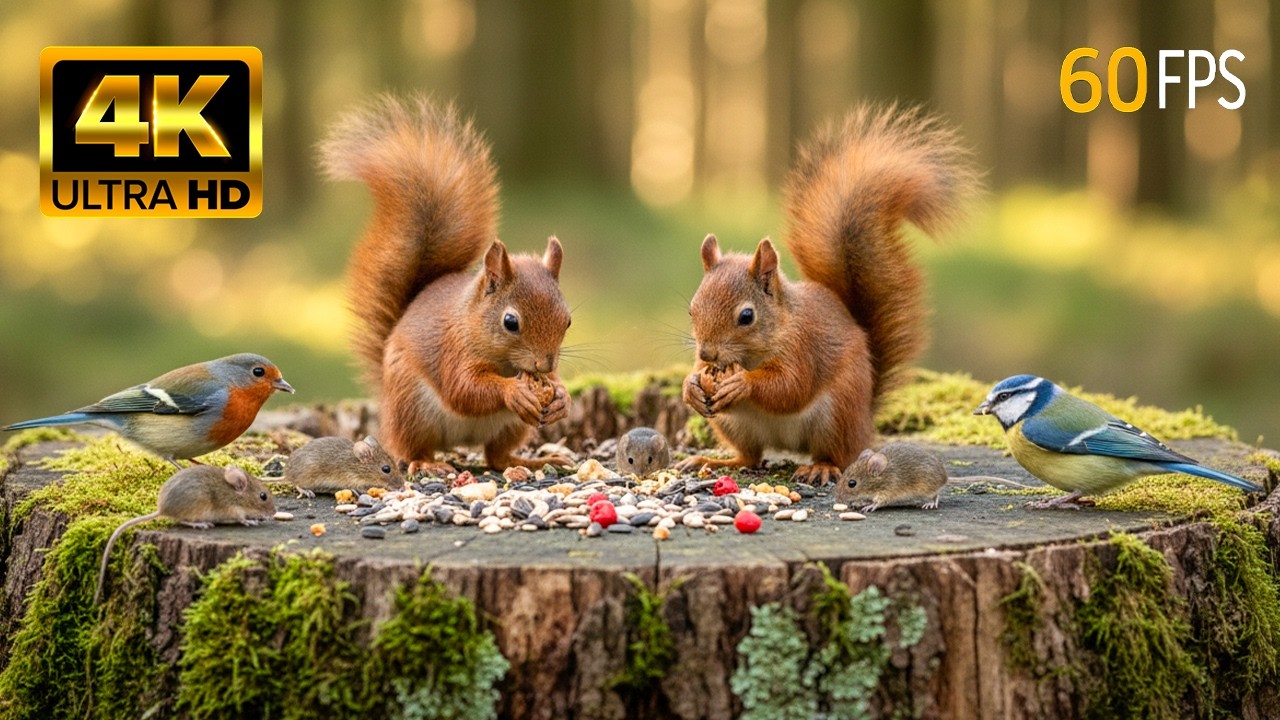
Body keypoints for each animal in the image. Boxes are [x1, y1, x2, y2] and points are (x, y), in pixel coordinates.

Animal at [321, 96, 573, 475]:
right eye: (510, 322)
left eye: (567, 320)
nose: (544, 366)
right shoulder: (452, 351)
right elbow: (464, 389)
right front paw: (514, 392)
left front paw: (561, 396)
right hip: (412, 408)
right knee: (411, 447)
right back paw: (428, 464)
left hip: (512, 426)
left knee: (497, 456)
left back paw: (532, 459)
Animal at [678, 105, 980, 485]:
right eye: (692, 310)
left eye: (746, 316)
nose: (707, 352)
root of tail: (866, 421)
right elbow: (699, 376)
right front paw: (691, 385)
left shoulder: (804, 348)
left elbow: (790, 387)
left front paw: (742, 384)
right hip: (733, 424)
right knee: (751, 457)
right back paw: (718, 462)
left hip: (838, 414)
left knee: (837, 454)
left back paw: (820, 467)